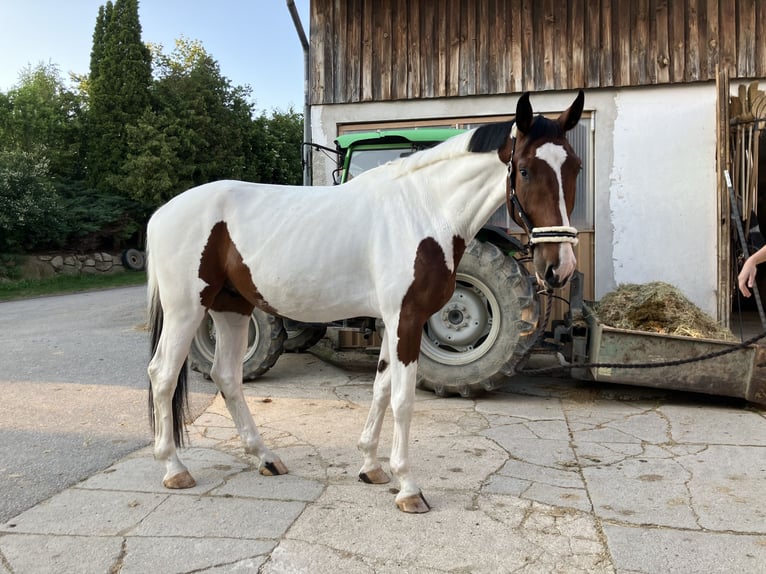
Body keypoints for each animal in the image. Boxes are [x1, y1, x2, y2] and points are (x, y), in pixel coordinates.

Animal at [146, 91, 588, 516]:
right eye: (526, 169)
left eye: (575, 168)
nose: (559, 267)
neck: (422, 211)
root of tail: (162, 212)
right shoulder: (406, 319)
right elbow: (403, 400)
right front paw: (408, 487)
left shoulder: (394, 321)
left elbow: (381, 387)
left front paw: (371, 467)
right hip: (187, 310)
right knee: (162, 374)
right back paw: (174, 468)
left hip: (231, 308)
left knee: (226, 376)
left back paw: (264, 457)